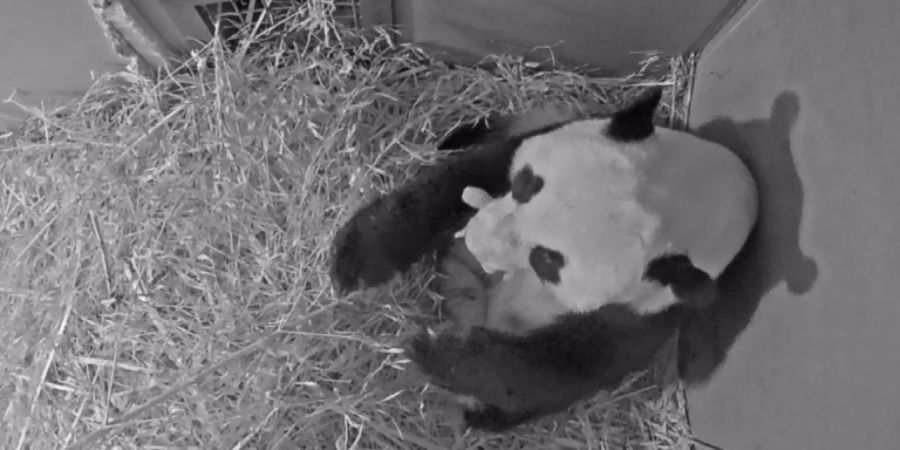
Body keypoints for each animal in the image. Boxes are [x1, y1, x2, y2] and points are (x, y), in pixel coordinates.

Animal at [326, 86, 756, 430]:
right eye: (525, 185)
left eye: (546, 260)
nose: (476, 241)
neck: (693, 193)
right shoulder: (542, 141)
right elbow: (458, 180)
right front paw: (358, 256)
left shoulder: (650, 309)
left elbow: (562, 366)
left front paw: (435, 349)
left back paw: (480, 414)